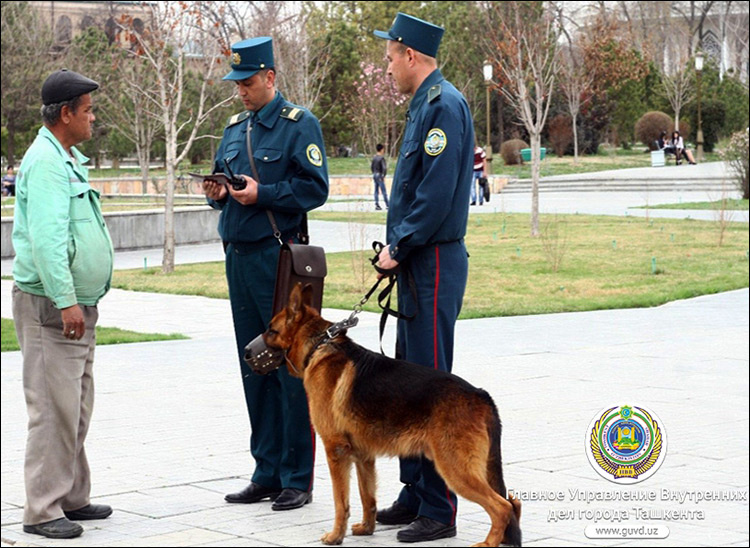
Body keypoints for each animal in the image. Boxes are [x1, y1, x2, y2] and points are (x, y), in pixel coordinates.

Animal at [264, 284, 524, 544]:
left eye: (271, 330)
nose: (252, 347)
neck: (319, 346)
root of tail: (481, 395)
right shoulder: (363, 456)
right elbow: (367, 497)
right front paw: (366, 528)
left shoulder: (336, 452)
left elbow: (342, 502)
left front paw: (336, 535)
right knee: (514, 503)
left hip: (455, 470)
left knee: (502, 507)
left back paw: (488, 542)